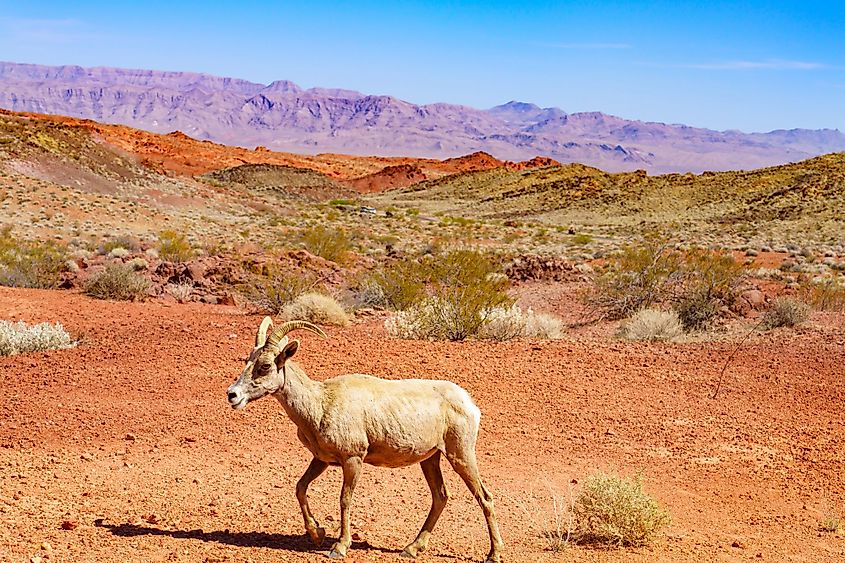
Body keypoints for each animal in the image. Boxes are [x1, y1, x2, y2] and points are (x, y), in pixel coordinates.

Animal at [226, 320, 502, 560]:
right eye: (247, 361)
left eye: (265, 366)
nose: (233, 395)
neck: (320, 403)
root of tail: (469, 403)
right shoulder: (322, 460)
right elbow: (300, 487)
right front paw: (317, 534)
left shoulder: (353, 459)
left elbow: (344, 499)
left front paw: (339, 548)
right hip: (430, 459)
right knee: (440, 496)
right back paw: (411, 549)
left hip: (460, 455)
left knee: (484, 496)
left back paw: (494, 554)